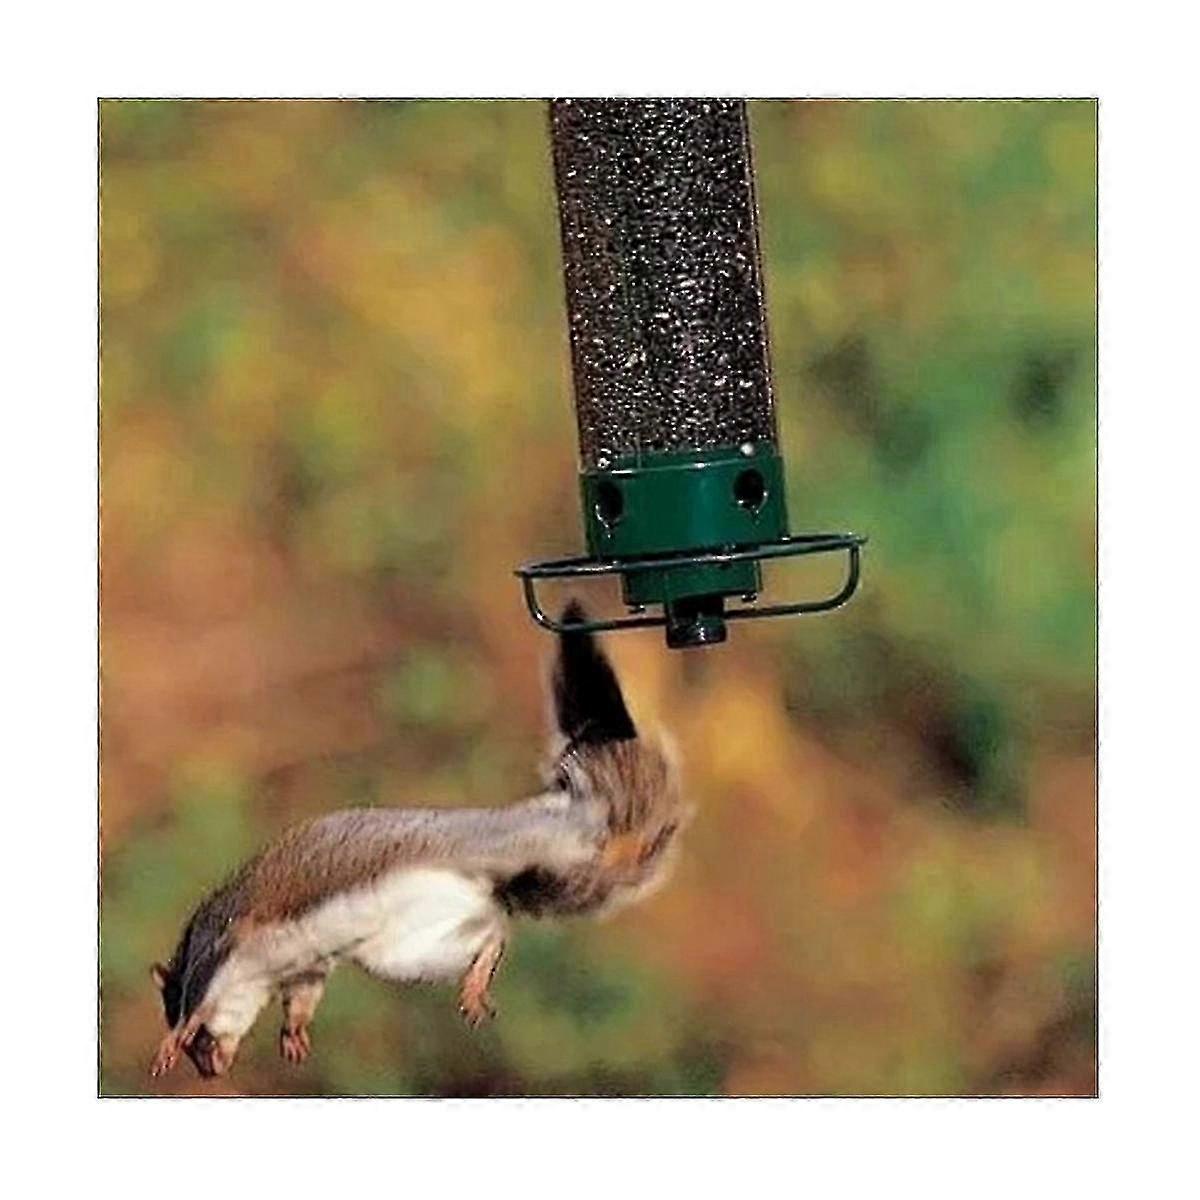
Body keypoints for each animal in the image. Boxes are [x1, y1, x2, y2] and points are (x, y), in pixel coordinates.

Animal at [149, 602, 688, 1079]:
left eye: (200, 1044)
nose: (210, 1073)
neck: (258, 974)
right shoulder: (305, 969)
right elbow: (302, 998)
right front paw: (294, 1034)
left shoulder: (228, 941)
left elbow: (200, 999)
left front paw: (175, 1038)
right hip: (408, 947)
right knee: (493, 930)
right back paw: (477, 977)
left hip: (517, 856)